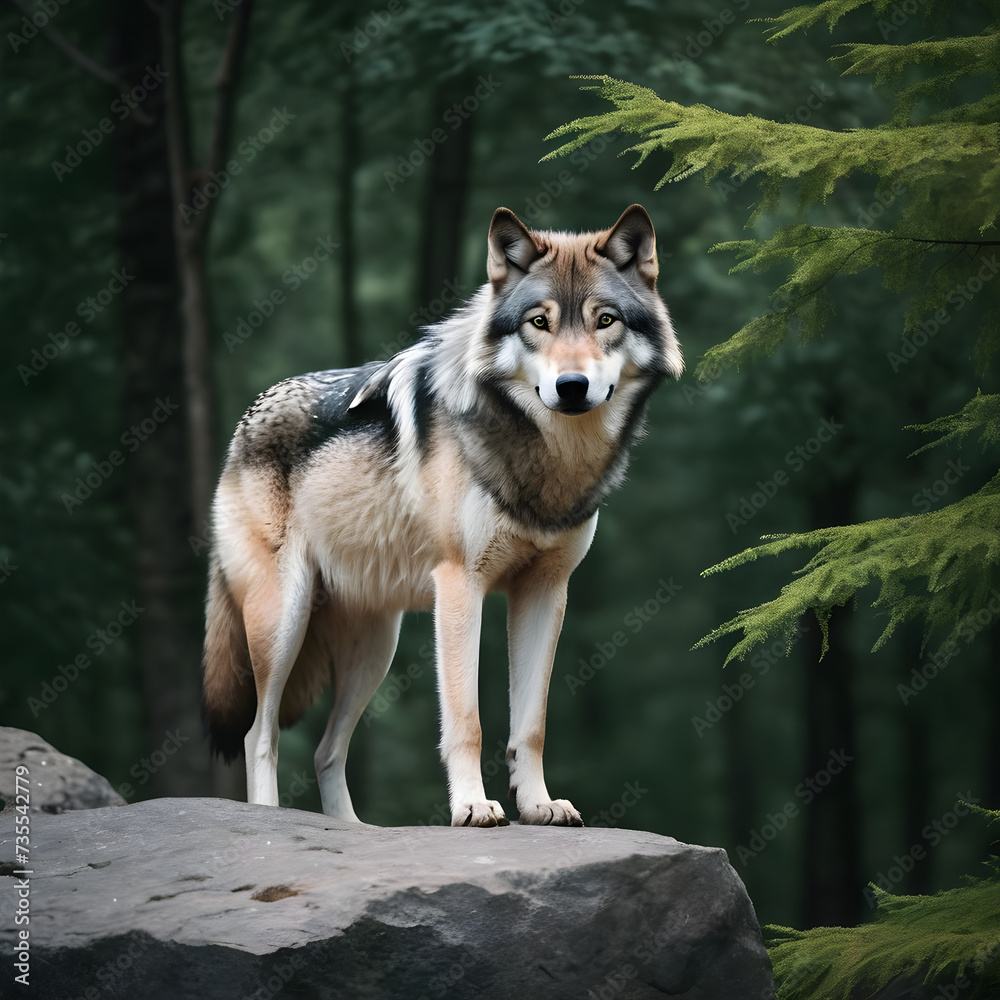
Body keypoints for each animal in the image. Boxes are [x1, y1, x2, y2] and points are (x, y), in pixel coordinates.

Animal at [202, 205, 683, 827]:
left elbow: (531, 726)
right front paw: (474, 806)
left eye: (605, 320)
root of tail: (247, 420)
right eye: (539, 322)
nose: (571, 386)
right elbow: (467, 721)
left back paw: (353, 830)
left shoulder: (546, 592)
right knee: (259, 734)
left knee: (327, 749)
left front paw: (539, 805)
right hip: (283, 620)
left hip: (375, 652)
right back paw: (269, 818)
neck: (546, 459)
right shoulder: (460, 586)